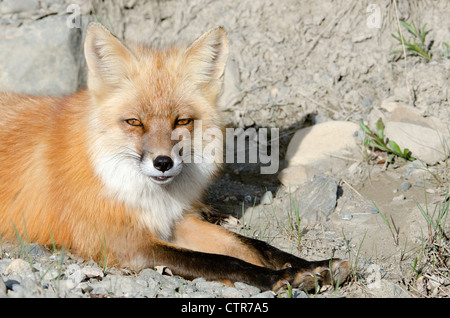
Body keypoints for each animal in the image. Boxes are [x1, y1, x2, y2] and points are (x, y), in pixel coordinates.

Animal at [0, 23, 348, 292]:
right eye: (134, 122)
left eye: (181, 121)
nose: (163, 163)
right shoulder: (125, 242)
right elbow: (220, 261)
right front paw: (278, 278)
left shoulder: (176, 219)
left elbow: (252, 245)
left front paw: (312, 265)